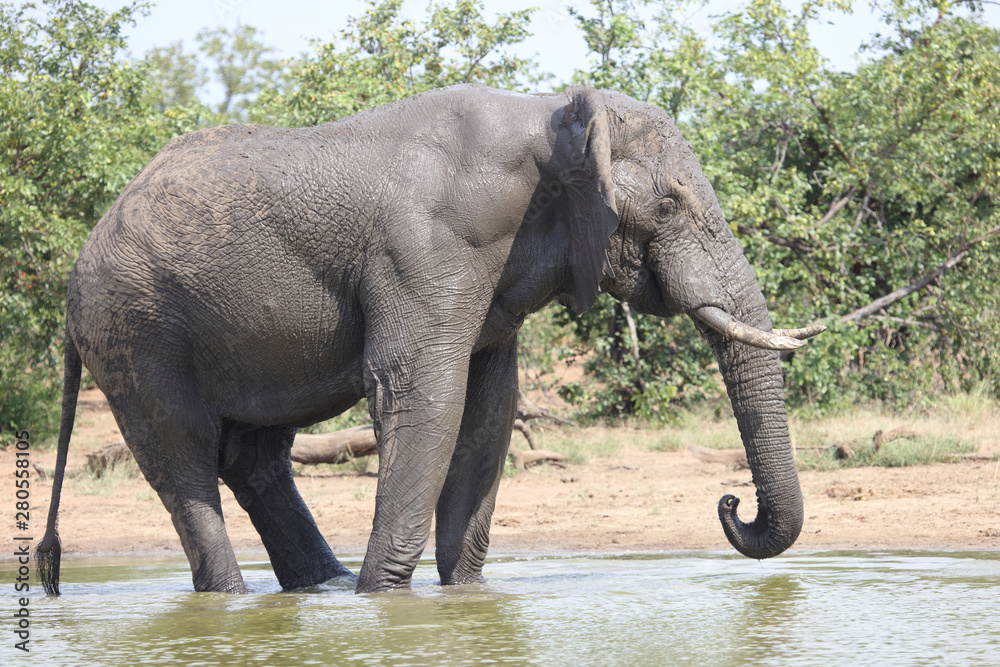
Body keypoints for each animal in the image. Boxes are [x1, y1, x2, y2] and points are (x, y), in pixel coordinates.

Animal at [37, 84, 823, 596]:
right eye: (671, 206)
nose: (729, 502)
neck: (550, 117)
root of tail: (77, 266)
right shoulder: (430, 246)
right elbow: (426, 398)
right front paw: (384, 602)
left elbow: (487, 415)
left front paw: (462, 599)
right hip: (136, 327)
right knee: (185, 457)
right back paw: (245, 597)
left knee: (255, 455)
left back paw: (319, 590)